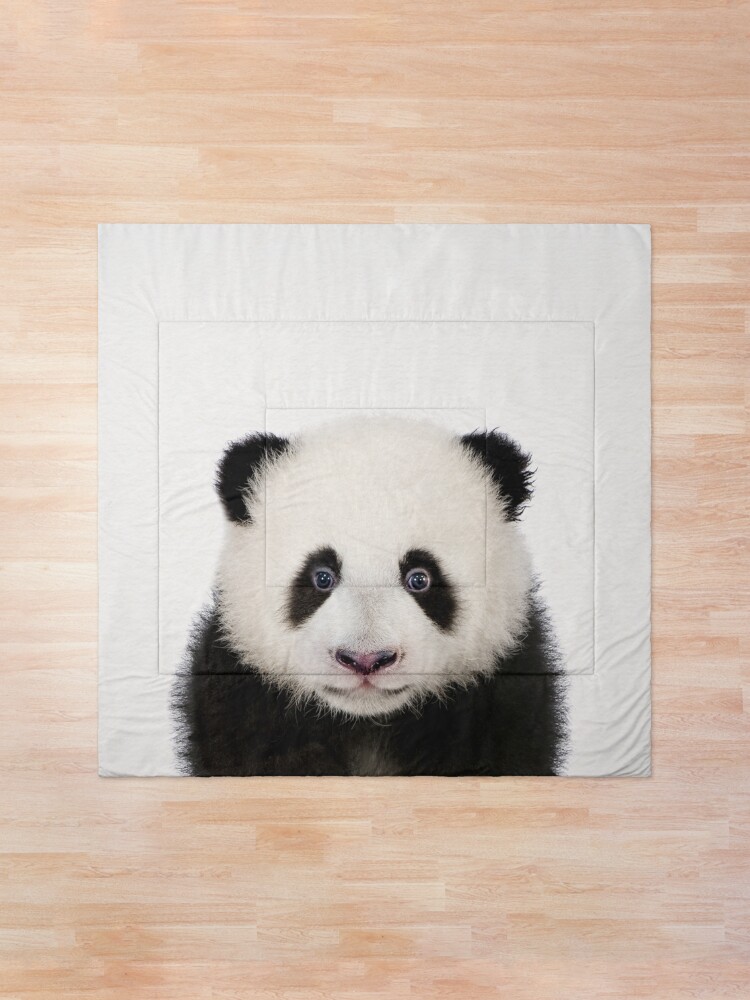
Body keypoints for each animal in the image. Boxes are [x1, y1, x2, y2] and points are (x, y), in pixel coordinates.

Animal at [172, 416, 567, 776]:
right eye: (322, 577)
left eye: (420, 578)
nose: (365, 660)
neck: (366, 723)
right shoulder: (241, 691)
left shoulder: (502, 692)